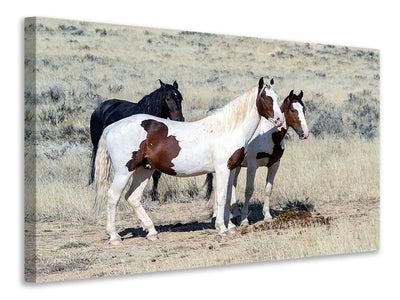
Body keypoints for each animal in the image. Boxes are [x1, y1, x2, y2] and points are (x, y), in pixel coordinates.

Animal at [93, 76, 284, 245]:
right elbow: (222, 197)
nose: (280, 120)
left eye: (277, 97)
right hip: (124, 171)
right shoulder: (222, 169)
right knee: (113, 197)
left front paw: (230, 227)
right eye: (266, 98)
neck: (227, 129)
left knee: (132, 198)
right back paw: (114, 236)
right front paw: (222, 228)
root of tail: (113, 126)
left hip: (143, 170)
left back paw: (152, 232)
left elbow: (229, 197)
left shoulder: (230, 169)